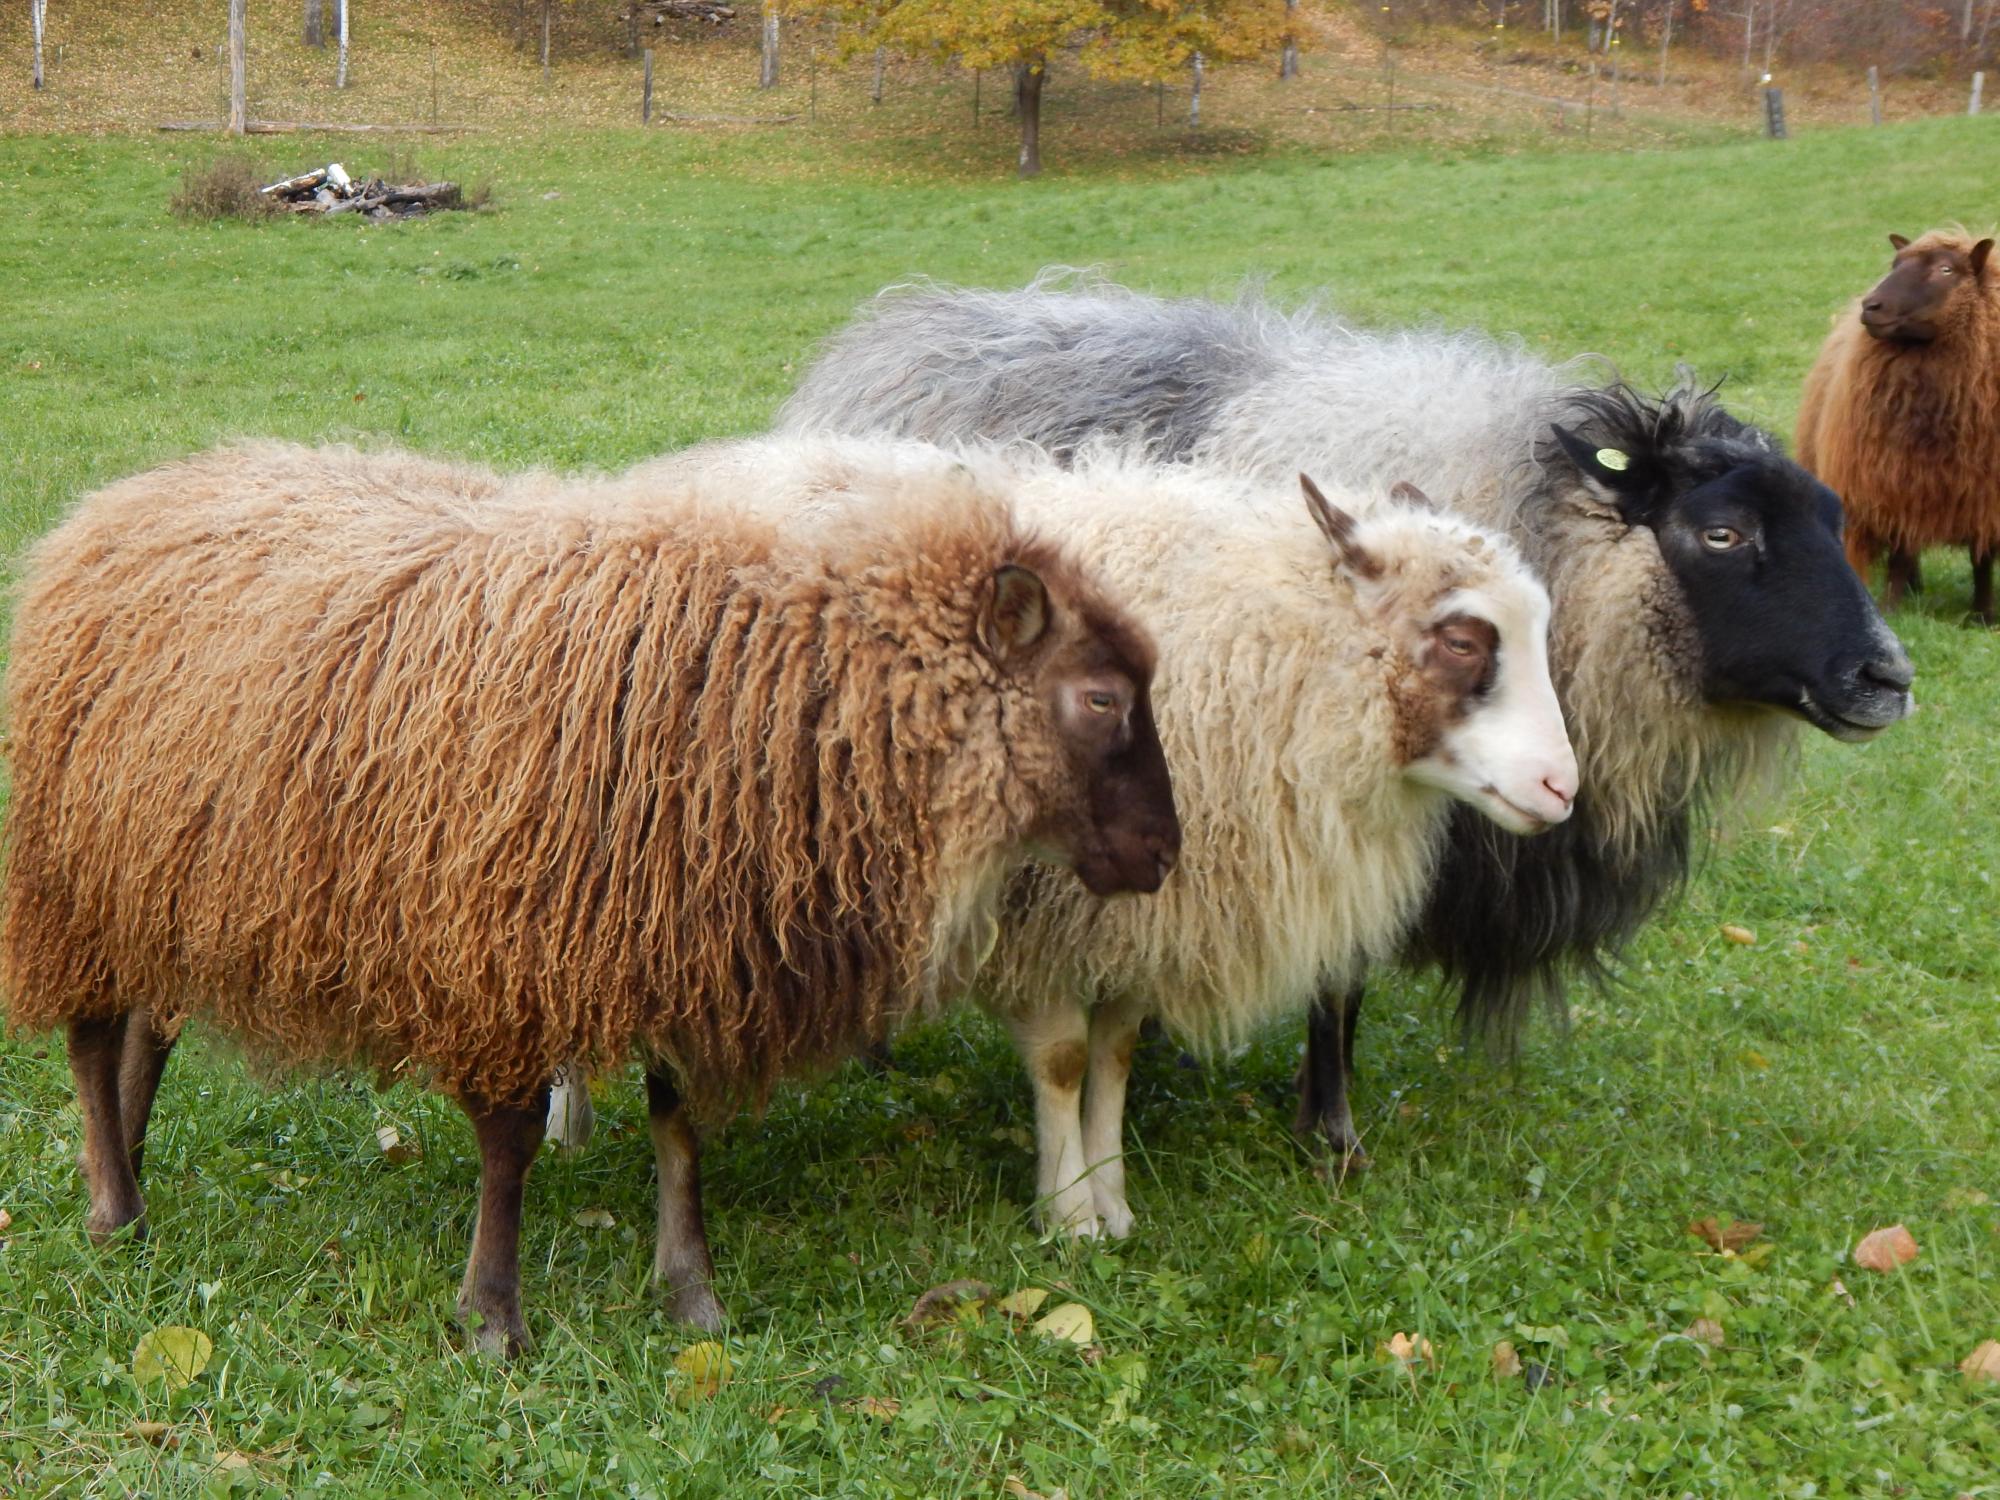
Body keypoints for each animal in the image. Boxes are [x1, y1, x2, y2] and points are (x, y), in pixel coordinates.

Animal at [0, 440, 1181, 1355]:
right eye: (1099, 698)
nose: (1165, 855)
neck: (775, 698)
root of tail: (116, 502)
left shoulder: (679, 934)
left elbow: (677, 1123)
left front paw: (689, 1290)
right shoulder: (506, 955)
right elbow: (513, 1144)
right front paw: (492, 1317)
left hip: (162, 879)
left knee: (149, 1030)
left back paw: (132, 1162)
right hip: (72, 880)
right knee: (94, 1038)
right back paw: (113, 1208)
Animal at [615, 435, 1576, 1237]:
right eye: (1461, 640)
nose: (1561, 788)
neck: (1263, 654)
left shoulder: (1144, 915)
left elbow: (1113, 1056)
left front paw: (1111, 1196)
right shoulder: (1040, 919)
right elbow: (1066, 1061)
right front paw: (1068, 1214)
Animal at [777, 276, 1915, 1169]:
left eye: (1834, 518)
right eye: (1720, 534)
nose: (1887, 678)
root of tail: (898, 329)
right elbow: (1338, 977)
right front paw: (1330, 1132)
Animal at [1796, 228, 2000, 623]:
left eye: (1946, 270)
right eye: (1895, 264)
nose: (1871, 307)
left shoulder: (1985, 496)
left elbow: (1981, 558)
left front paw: (1982, 615)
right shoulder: (1893, 482)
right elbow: (1901, 554)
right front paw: (1890, 610)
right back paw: (1912, 590)